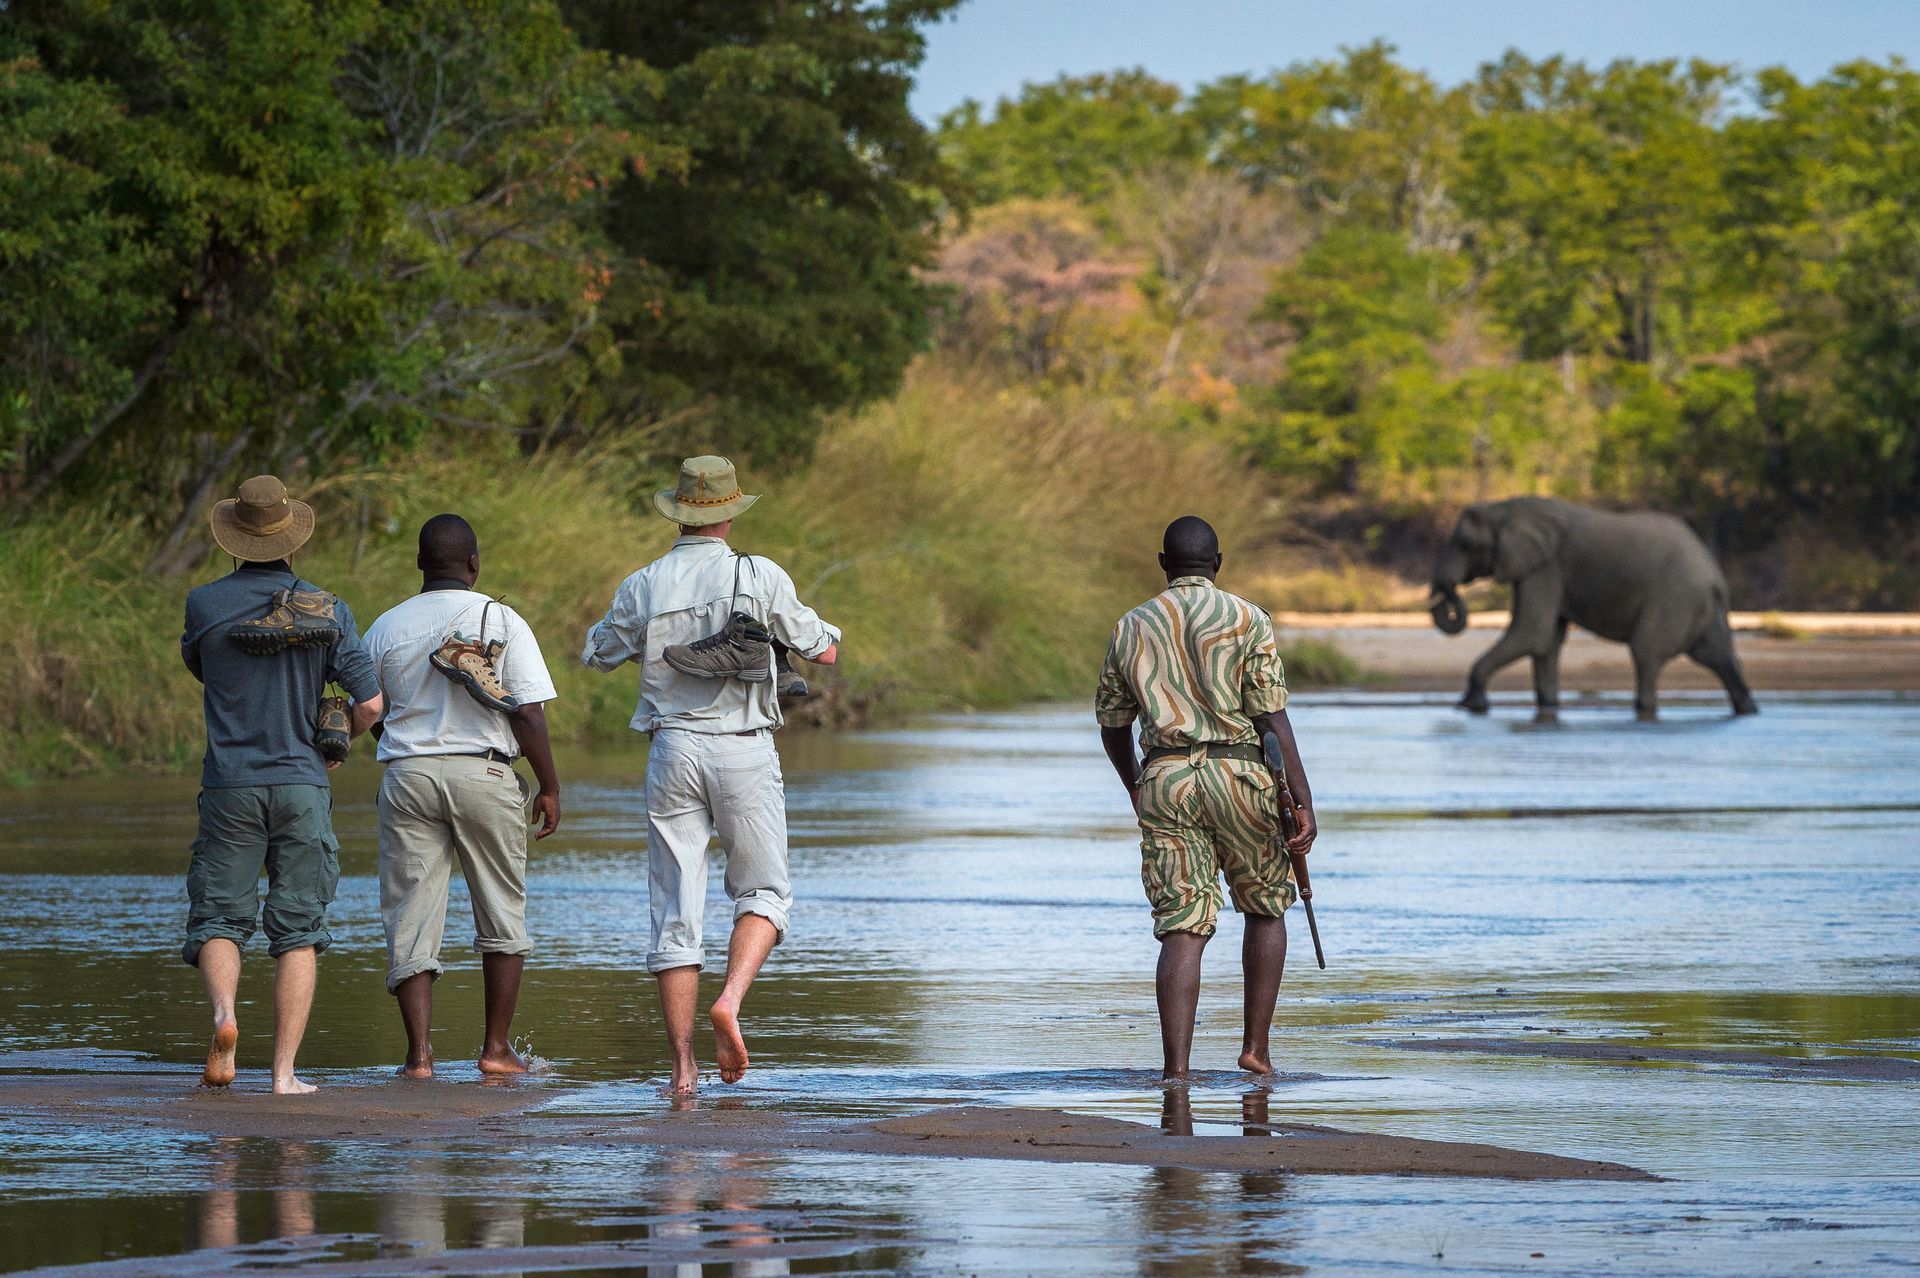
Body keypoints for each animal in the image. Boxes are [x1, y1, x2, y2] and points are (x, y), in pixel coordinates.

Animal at [1428, 497, 1758, 719]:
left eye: (1466, 545)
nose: (1448, 596)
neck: (1505, 509)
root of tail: (1714, 573)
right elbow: (1546, 641)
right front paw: (1549, 706)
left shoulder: (1545, 567)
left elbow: (1532, 632)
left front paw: (1469, 706)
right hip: (1701, 605)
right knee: (1719, 656)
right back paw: (1748, 711)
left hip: (1675, 597)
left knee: (1647, 652)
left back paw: (1644, 709)